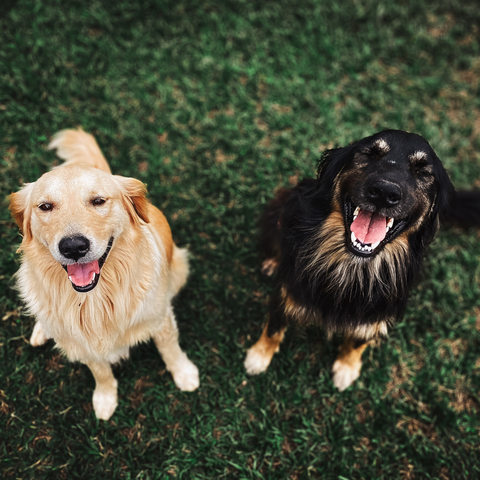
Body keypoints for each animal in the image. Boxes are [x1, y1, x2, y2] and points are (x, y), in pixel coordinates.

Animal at [9, 129, 201, 418]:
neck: (94, 300)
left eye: (98, 201)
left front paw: (184, 374)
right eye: (45, 206)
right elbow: (100, 372)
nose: (73, 247)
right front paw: (105, 398)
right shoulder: (85, 344)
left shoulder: (160, 317)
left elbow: (170, 349)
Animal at [246, 129, 478, 392]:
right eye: (370, 154)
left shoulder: (376, 314)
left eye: (422, 172)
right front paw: (258, 357)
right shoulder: (287, 289)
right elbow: (274, 327)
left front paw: (346, 368)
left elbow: (358, 340)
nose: (385, 193)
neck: (353, 265)